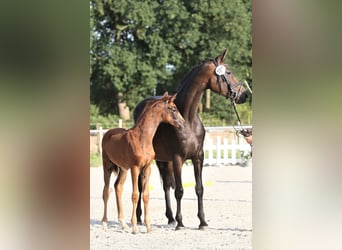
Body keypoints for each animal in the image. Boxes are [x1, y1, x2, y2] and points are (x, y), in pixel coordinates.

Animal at [101, 93, 184, 233]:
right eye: (173, 109)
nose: (183, 124)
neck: (142, 138)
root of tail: (107, 133)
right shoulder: (135, 168)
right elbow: (135, 195)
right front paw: (135, 227)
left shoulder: (147, 168)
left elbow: (145, 195)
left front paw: (148, 227)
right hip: (107, 166)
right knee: (106, 192)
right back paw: (105, 224)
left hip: (123, 169)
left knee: (118, 187)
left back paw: (123, 223)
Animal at [134, 49, 248, 230]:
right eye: (229, 72)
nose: (243, 95)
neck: (187, 119)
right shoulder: (178, 159)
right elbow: (180, 190)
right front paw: (181, 223)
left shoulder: (198, 157)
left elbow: (199, 188)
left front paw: (202, 221)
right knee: (140, 183)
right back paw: (139, 217)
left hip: (163, 160)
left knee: (166, 184)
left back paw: (170, 218)